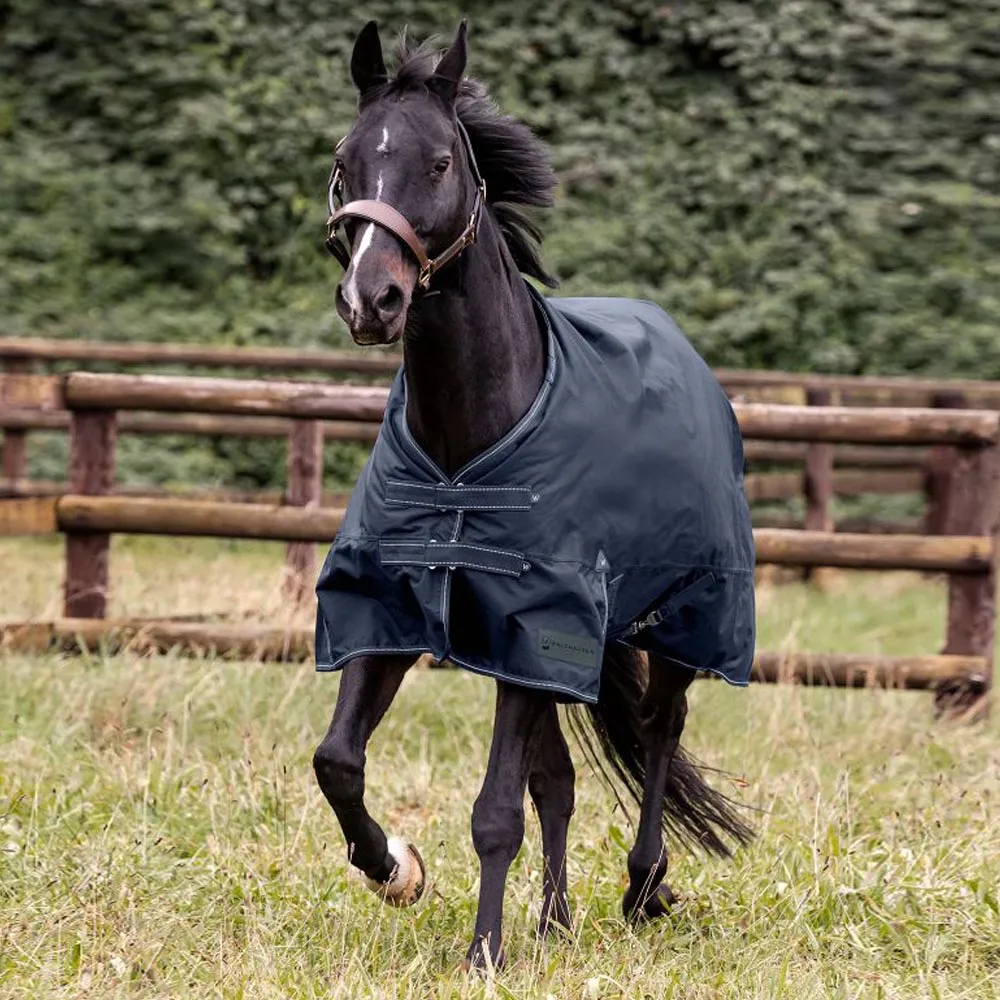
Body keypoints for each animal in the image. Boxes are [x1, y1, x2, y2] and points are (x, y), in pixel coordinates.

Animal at [312, 20, 756, 970]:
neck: (468, 444)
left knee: (659, 731)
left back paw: (643, 886)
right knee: (560, 778)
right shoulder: (402, 608)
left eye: (441, 161)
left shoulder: (539, 620)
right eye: (345, 159)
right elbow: (338, 760)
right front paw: (396, 869)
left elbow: (493, 810)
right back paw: (554, 920)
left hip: (678, 618)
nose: (373, 299)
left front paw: (484, 952)